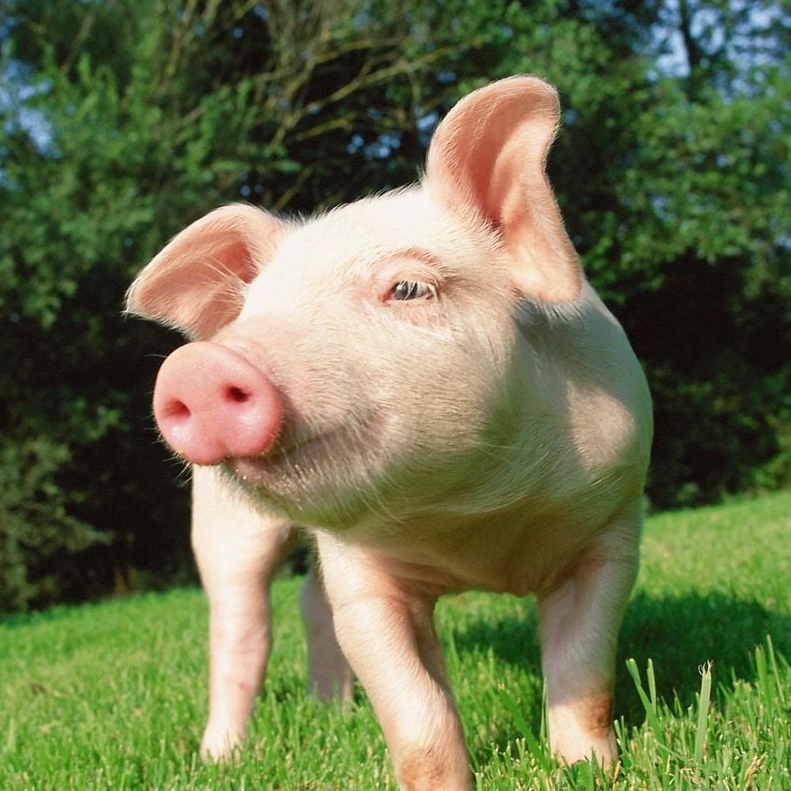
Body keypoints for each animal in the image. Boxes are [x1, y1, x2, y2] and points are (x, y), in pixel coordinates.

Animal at [125, 75, 652, 791]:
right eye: (255, 309)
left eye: (408, 288)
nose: (199, 366)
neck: (475, 522)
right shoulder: (365, 579)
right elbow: (417, 717)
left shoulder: (612, 528)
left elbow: (584, 679)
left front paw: (588, 771)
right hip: (220, 522)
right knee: (240, 629)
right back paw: (221, 756)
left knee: (307, 603)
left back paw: (333, 713)